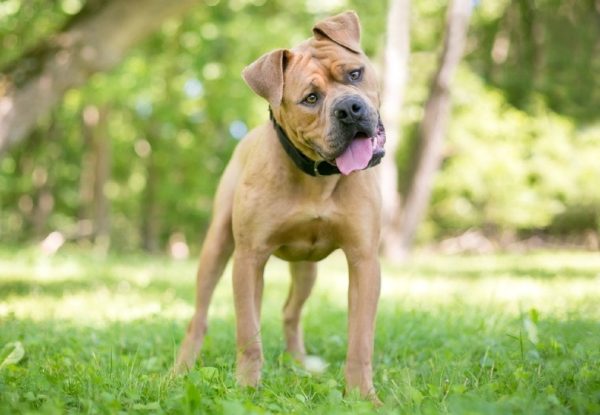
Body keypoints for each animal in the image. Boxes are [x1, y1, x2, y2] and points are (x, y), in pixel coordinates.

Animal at [176, 10, 386, 400]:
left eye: (355, 74)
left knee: (291, 311)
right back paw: (180, 369)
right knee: (201, 316)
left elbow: (360, 339)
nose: (349, 109)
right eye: (311, 98)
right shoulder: (249, 258)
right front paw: (246, 388)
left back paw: (300, 364)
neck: (317, 178)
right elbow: (248, 333)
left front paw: (363, 395)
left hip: (307, 270)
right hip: (217, 247)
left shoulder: (364, 260)